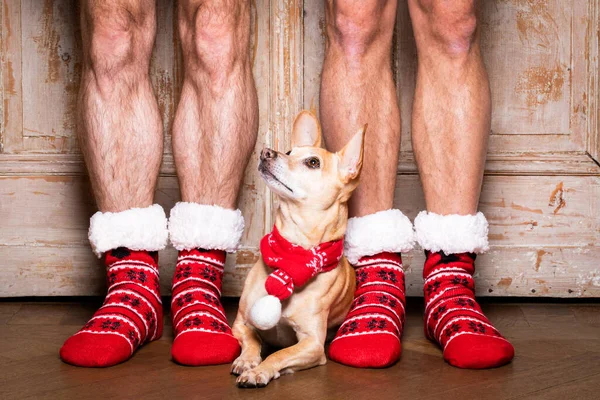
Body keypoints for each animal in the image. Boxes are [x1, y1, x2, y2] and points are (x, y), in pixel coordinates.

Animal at [231, 110, 366, 388]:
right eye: (288, 151)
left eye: (313, 162)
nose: (266, 152)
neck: (294, 252)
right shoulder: (241, 323)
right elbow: (252, 340)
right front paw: (247, 360)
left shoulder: (312, 343)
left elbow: (281, 354)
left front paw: (260, 370)